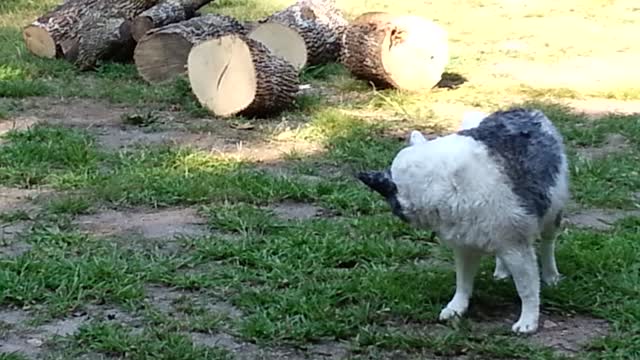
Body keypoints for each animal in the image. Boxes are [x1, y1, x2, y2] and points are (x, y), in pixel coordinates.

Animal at [356, 107, 568, 334]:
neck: (443, 183)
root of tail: (527, 109)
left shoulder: (516, 246)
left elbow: (527, 288)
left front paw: (528, 320)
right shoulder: (465, 246)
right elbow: (463, 282)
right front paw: (456, 307)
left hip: (552, 214)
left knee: (547, 244)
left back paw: (551, 275)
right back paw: (502, 271)